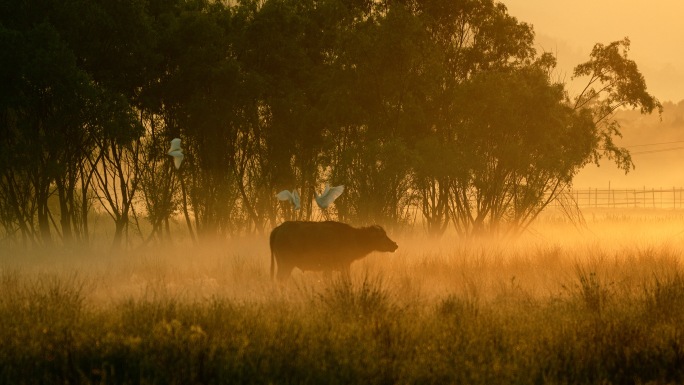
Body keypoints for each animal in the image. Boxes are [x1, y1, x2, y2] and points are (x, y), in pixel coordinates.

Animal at [270, 220, 398, 280]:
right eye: (382, 236)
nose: (395, 245)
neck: (354, 237)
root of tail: (279, 228)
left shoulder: (328, 269)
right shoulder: (344, 266)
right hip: (286, 265)